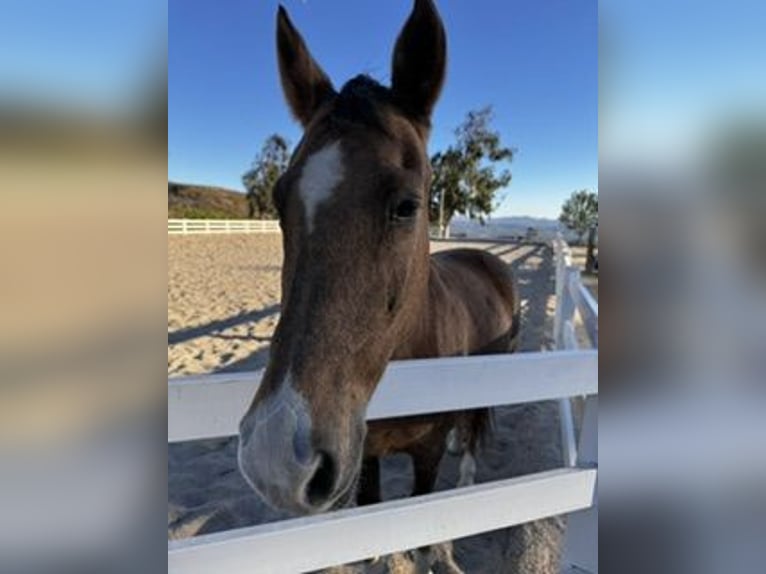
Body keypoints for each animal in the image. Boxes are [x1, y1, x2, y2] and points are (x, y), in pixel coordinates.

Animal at [238, 0, 520, 515]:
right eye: (279, 201)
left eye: (408, 205)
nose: (276, 460)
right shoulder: (364, 456)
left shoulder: (425, 456)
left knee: (474, 424)